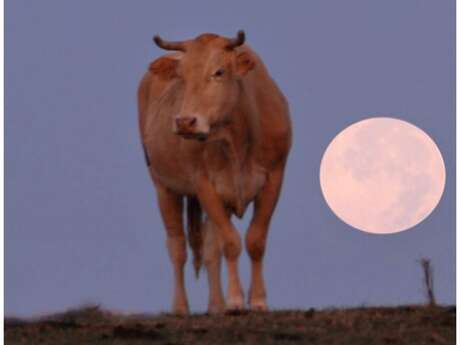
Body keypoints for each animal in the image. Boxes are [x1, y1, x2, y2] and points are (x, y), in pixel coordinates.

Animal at [138, 30, 292, 314]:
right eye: (181, 76)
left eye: (219, 72)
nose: (185, 122)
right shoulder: (204, 184)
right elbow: (231, 243)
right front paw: (235, 301)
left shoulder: (274, 178)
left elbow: (255, 241)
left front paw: (257, 300)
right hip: (163, 186)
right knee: (177, 246)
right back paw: (181, 308)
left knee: (210, 250)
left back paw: (215, 306)